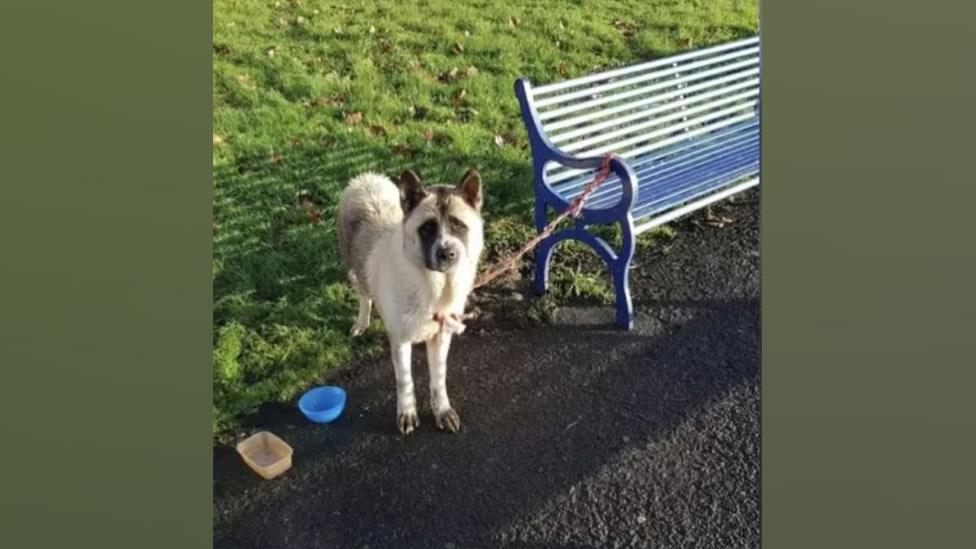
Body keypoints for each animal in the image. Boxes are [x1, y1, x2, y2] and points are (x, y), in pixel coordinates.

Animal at [338, 167, 486, 432]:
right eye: (427, 228)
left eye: (458, 225)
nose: (447, 253)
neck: (434, 285)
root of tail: (365, 180)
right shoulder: (400, 341)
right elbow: (405, 381)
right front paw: (407, 413)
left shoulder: (441, 337)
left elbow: (438, 378)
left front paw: (442, 411)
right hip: (354, 269)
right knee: (364, 296)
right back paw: (362, 323)